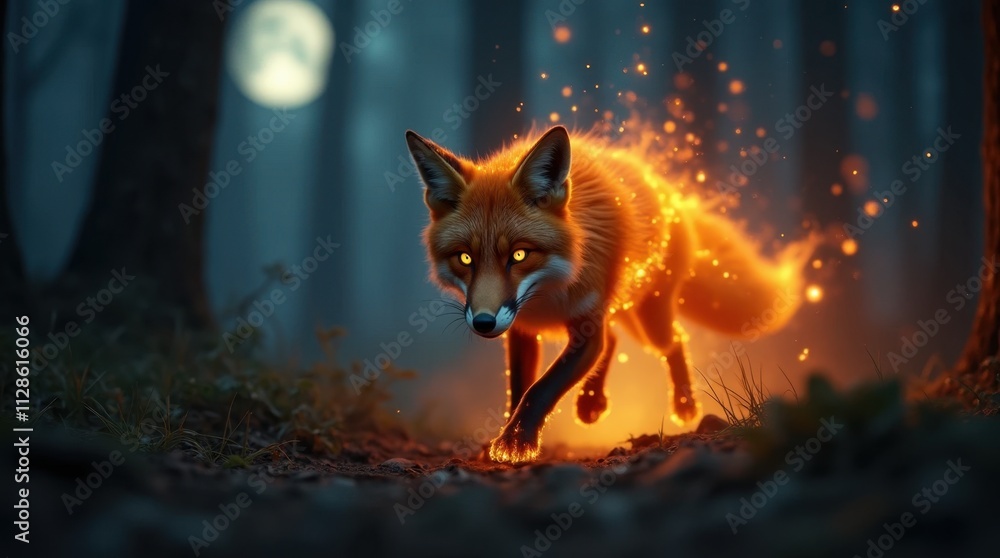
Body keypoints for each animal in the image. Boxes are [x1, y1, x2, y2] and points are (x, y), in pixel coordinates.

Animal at [405, 126, 817, 463]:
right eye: (465, 258)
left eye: (519, 255)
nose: (484, 323)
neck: (547, 293)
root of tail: (670, 193)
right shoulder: (523, 330)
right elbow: (520, 388)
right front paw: (507, 436)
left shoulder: (585, 326)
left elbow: (542, 388)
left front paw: (516, 443)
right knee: (617, 338)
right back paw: (592, 402)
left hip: (647, 320)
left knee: (672, 341)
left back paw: (684, 403)